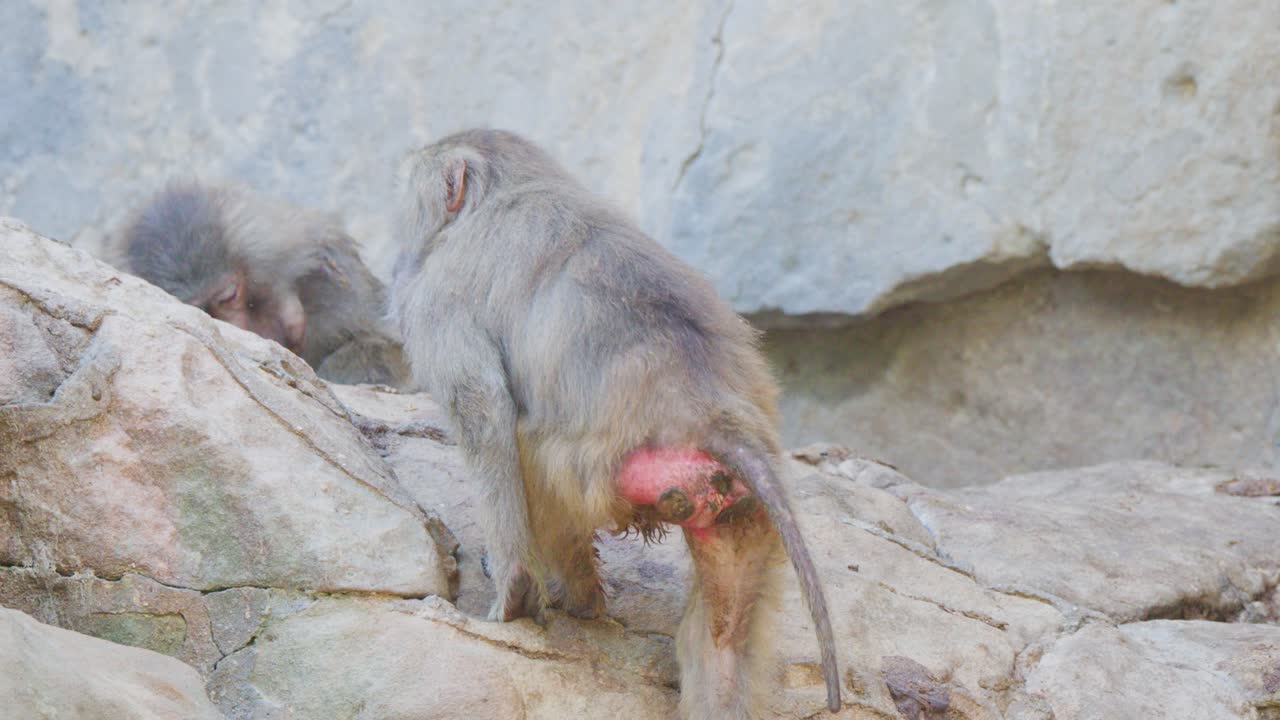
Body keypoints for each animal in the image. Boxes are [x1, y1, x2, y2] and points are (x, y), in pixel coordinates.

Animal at [389, 129, 840, 718]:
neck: (510, 188)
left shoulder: (438, 298)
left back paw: (575, 597)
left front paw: (512, 595)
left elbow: (482, 405)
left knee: (527, 451)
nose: (396, 259)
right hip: (746, 508)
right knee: (724, 642)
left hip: (587, 465)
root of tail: (708, 406)